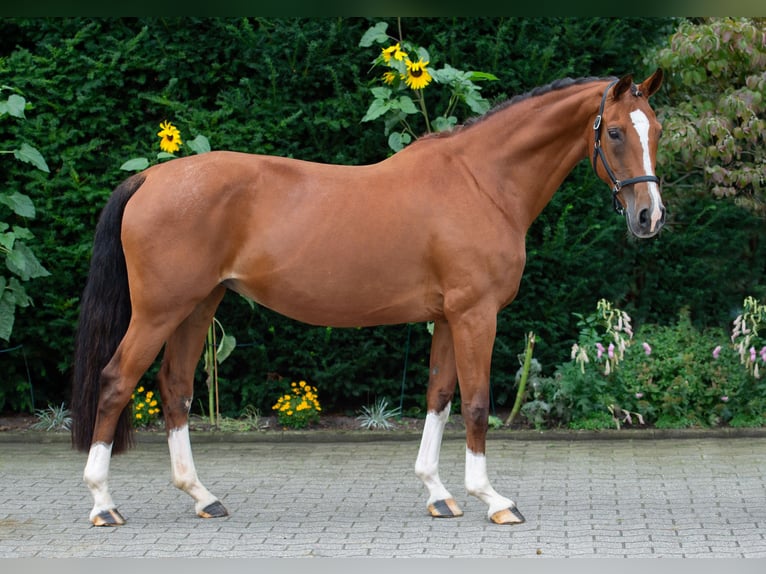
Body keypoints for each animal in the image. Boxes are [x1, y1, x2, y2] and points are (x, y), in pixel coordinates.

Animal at [75, 70, 668, 528]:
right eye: (616, 131)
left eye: (656, 129)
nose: (649, 217)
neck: (481, 182)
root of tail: (150, 178)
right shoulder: (475, 314)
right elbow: (476, 404)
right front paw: (494, 500)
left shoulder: (448, 317)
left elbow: (439, 396)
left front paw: (438, 494)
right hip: (160, 311)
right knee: (116, 382)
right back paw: (103, 504)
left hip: (198, 306)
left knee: (175, 390)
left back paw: (203, 497)